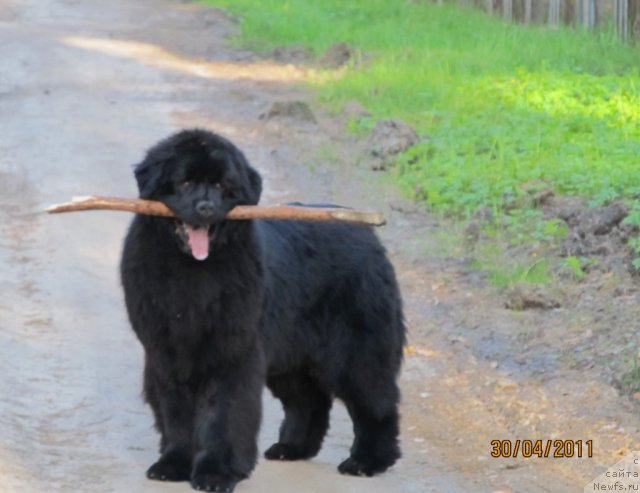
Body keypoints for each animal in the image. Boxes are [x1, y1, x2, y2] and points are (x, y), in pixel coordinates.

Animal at [121, 129, 404, 490]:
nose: (205, 208)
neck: (193, 273)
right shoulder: (166, 355)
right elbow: (175, 415)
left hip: (356, 352)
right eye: (184, 183)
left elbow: (224, 416)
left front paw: (216, 473)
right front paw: (173, 465)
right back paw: (292, 448)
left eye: (221, 185)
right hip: (291, 356)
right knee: (309, 401)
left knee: (375, 404)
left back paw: (367, 461)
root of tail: (366, 231)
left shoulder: (233, 354)